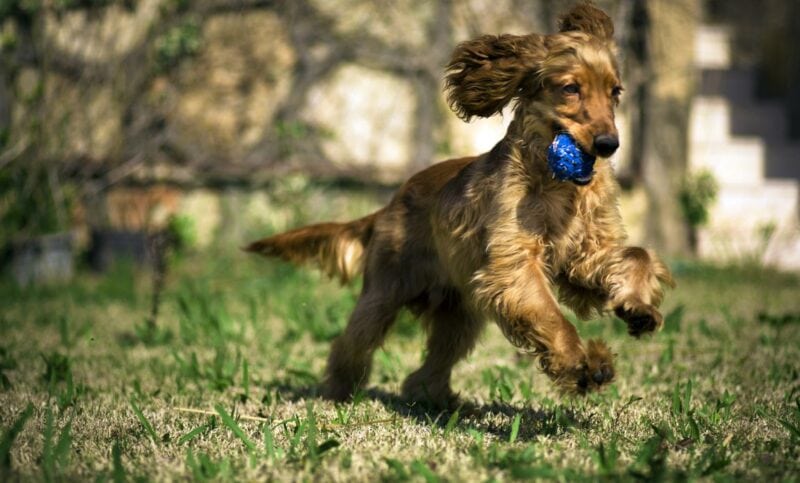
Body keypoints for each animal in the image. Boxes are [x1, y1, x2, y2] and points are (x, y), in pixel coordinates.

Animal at [247, 2, 672, 408]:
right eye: (571, 88)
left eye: (615, 92)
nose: (609, 144)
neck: (558, 184)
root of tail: (389, 204)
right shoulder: (514, 266)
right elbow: (552, 316)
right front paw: (579, 363)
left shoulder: (579, 259)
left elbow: (636, 255)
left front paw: (637, 308)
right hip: (382, 296)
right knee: (350, 344)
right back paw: (337, 390)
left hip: (459, 315)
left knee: (429, 366)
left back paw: (439, 399)